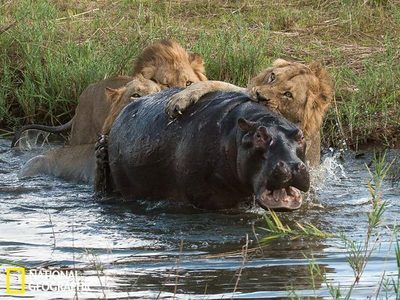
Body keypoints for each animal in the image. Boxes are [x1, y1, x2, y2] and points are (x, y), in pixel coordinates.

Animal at [166, 58, 334, 166]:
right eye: (272, 77)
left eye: (288, 94)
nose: (260, 96)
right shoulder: (245, 90)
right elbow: (214, 83)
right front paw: (180, 99)